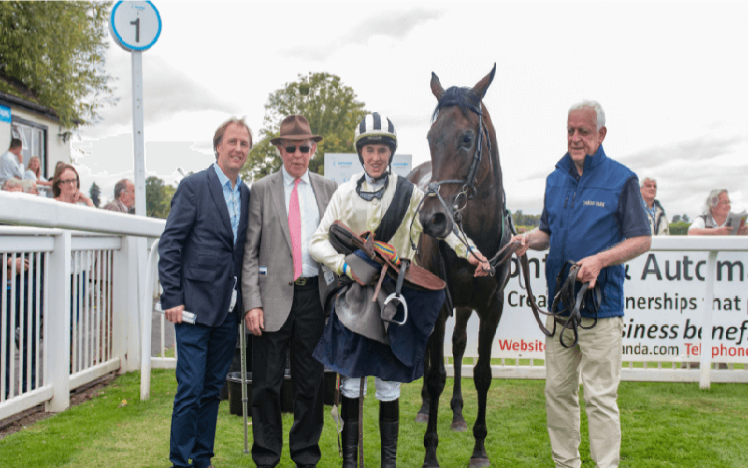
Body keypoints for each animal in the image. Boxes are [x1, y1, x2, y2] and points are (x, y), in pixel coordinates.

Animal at [406, 63, 512, 468]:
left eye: (467, 138)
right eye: (431, 136)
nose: (432, 219)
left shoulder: (492, 306)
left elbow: (481, 372)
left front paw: (479, 449)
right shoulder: (438, 303)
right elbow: (435, 374)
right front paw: (430, 452)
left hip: (466, 307)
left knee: (456, 345)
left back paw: (457, 413)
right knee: (429, 352)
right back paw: (425, 409)